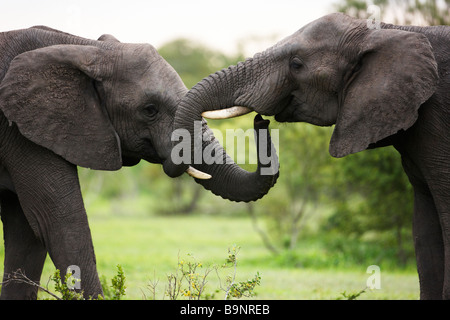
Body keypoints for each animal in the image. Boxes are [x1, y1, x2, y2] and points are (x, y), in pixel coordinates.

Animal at [0, 26, 280, 298]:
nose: (261, 119)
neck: (87, 48)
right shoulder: (22, 132)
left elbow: (26, 232)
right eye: (149, 110)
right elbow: (58, 220)